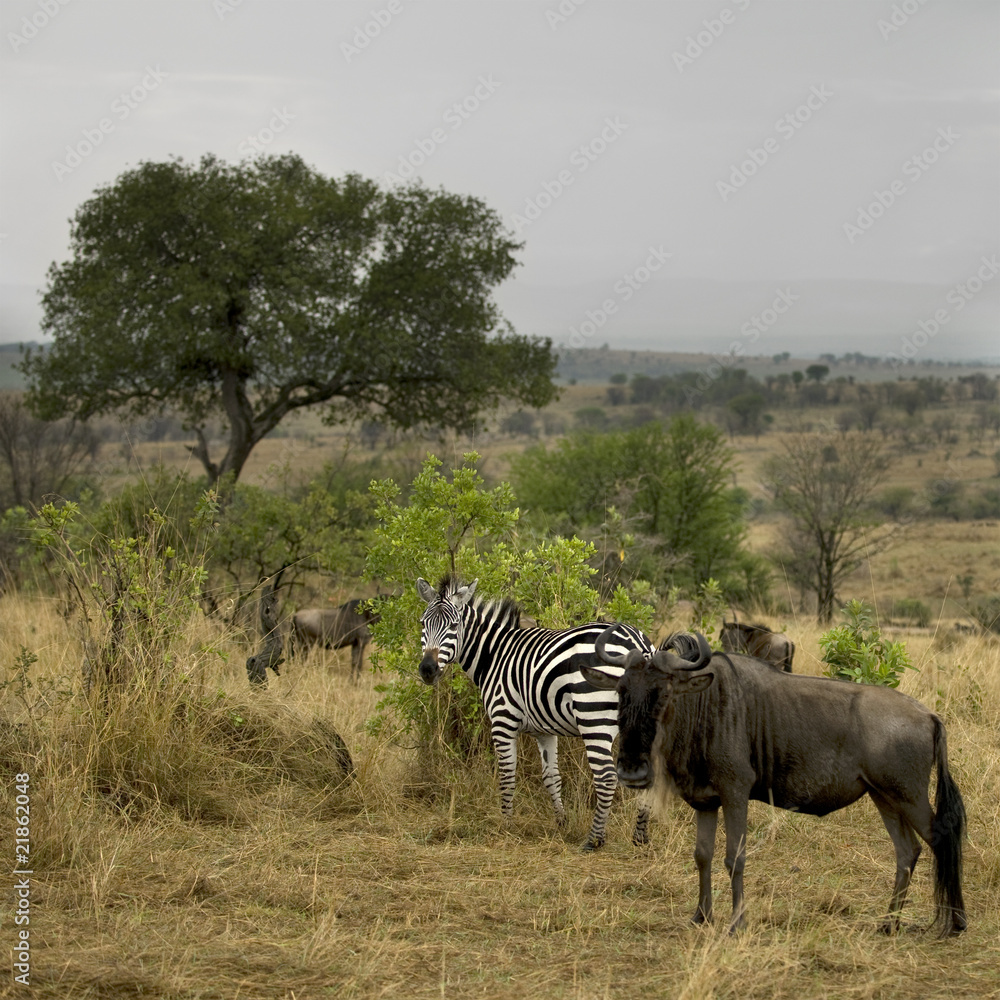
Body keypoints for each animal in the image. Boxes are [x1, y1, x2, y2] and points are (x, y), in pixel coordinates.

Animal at [417, 576, 654, 850]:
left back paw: (594, 840)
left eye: (454, 625)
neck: (494, 655)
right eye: (423, 624)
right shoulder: (545, 730)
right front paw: (562, 823)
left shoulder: (503, 720)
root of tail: (638, 643)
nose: (427, 670)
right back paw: (640, 837)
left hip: (594, 718)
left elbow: (507, 775)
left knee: (606, 777)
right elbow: (552, 777)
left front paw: (506, 825)